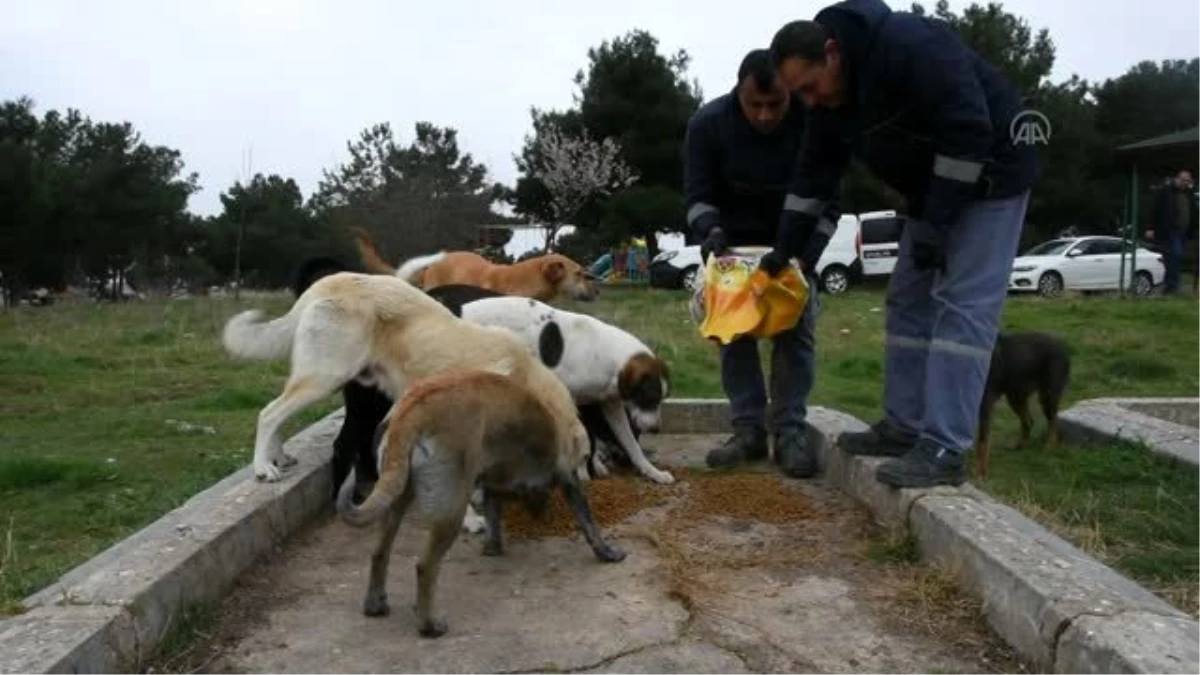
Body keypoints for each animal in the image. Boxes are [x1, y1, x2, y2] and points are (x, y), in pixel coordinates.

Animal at [333, 367, 624, 634]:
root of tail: (411, 412)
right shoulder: (567, 475)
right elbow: (587, 520)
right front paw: (606, 552)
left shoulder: (493, 481)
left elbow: (494, 513)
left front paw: (493, 547)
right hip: (450, 511)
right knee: (425, 566)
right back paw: (430, 624)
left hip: (396, 495)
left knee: (379, 552)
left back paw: (375, 605)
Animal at [979, 329, 1075, 478]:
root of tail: (1062, 347)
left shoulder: (985, 404)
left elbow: (982, 442)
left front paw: (981, 473)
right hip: (1016, 396)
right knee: (1028, 421)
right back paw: (1017, 446)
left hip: (1047, 396)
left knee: (1053, 422)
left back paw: (1050, 447)